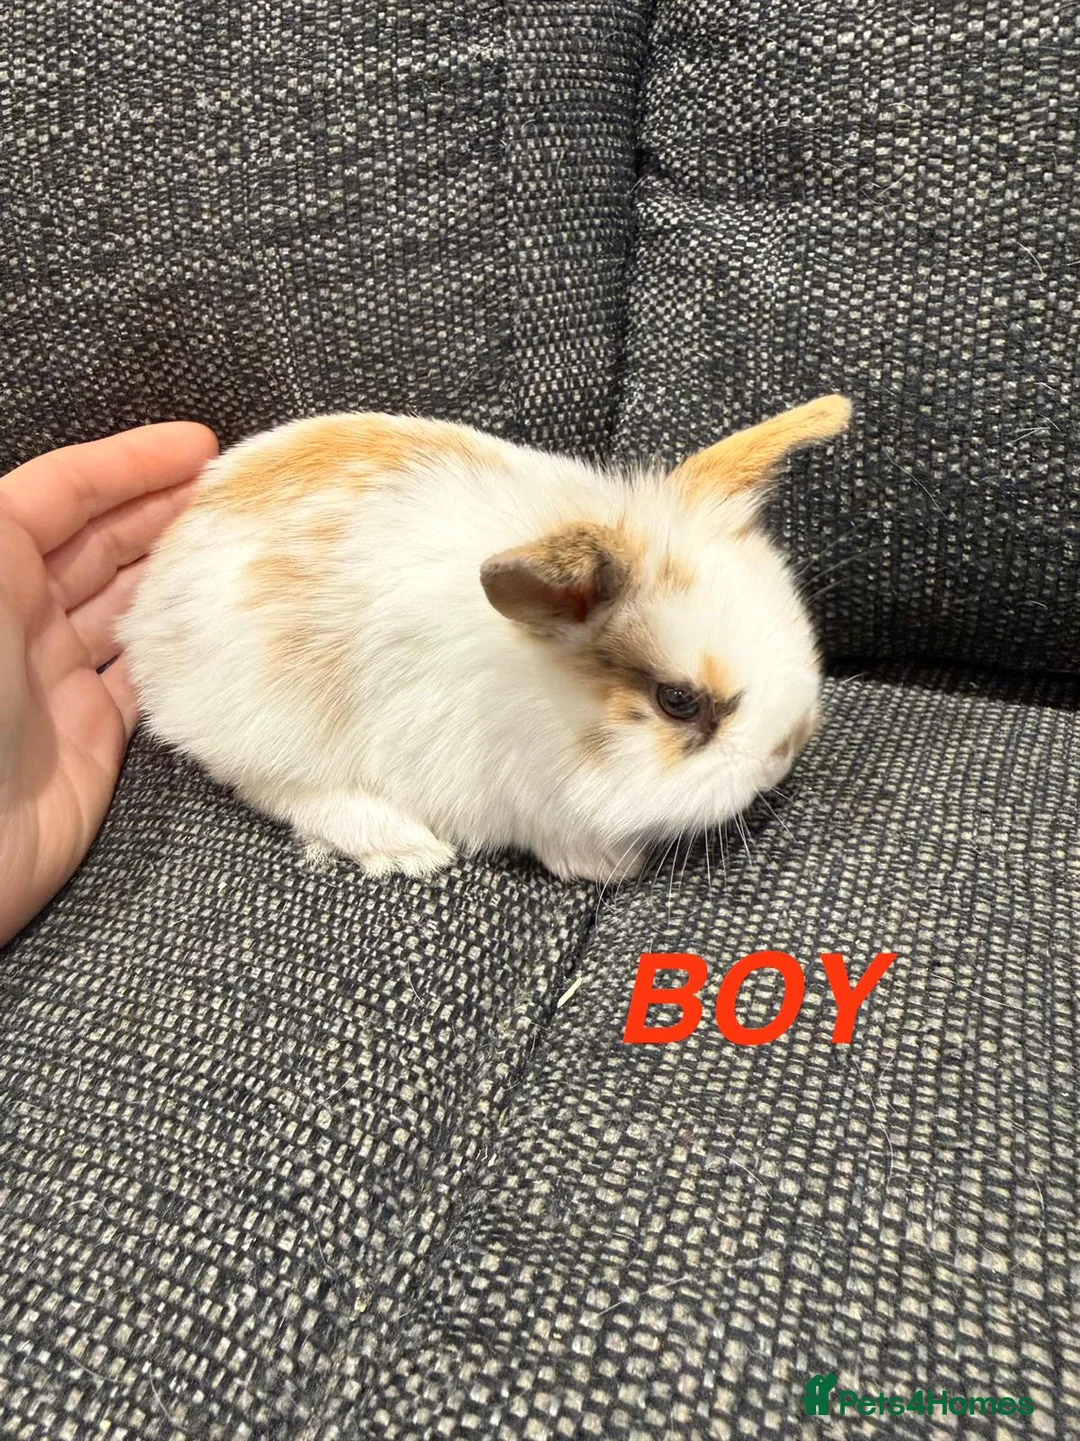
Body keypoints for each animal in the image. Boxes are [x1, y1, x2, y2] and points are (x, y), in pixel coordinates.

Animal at [119, 395, 852, 882]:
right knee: (279, 789)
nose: (785, 753)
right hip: (272, 728)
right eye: (678, 701)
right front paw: (610, 865)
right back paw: (406, 847)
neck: (541, 696)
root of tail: (148, 606)